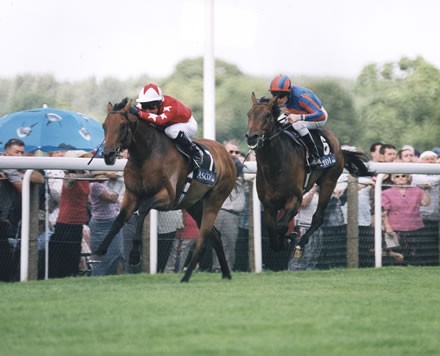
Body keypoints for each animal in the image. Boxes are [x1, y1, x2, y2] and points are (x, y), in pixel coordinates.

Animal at [93, 99, 237, 280]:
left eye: (122, 126)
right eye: (104, 126)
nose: (108, 155)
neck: (146, 155)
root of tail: (227, 155)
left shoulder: (168, 196)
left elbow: (143, 209)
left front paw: (134, 255)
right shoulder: (132, 195)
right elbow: (119, 220)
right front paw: (100, 249)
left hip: (215, 199)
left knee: (205, 237)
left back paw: (189, 276)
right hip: (194, 204)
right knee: (216, 236)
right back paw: (226, 274)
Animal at [246, 93, 370, 256]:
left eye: (267, 116)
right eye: (249, 114)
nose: (251, 137)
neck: (275, 167)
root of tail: (339, 147)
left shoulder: (295, 198)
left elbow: (282, 225)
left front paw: (288, 239)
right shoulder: (268, 205)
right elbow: (273, 231)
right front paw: (283, 241)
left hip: (329, 182)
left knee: (318, 217)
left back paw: (300, 243)